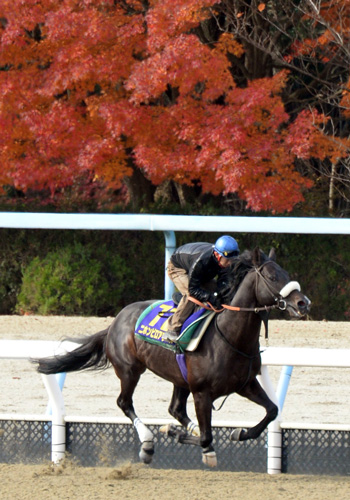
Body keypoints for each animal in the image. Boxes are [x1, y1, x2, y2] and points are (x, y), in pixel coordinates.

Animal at [34, 248, 310, 466]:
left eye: (287, 274)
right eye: (273, 277)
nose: (303, 302)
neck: (232, 337)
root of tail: (115, 322)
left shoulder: (245, 384)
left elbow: (272, 410)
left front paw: (238, 433)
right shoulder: (202, 392)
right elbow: (207, 436)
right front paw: (185, 438)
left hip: (179, 378)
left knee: (175, 409)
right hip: (129, 370)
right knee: (125, 403)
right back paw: (148, 443)